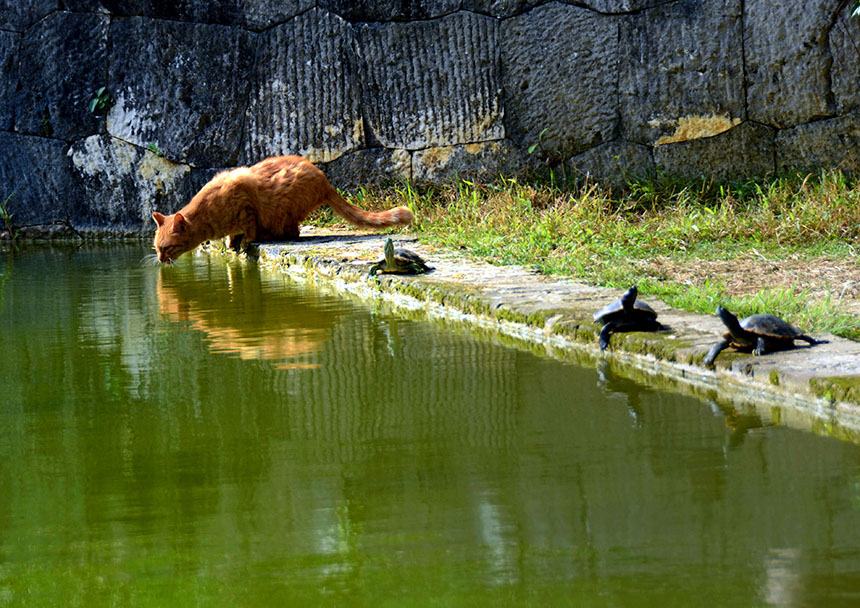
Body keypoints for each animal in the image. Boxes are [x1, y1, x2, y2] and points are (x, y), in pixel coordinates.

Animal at [152, 154, 414, 264]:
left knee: (292, 233)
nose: (160, 259)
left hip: (284, 209)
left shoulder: (245, 204)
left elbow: (248, 231)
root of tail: (323, 179)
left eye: (167, 248)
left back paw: (267, 235)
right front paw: (230, 243)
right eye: (156, 248)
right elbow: (232, 235)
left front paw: (245, 242)